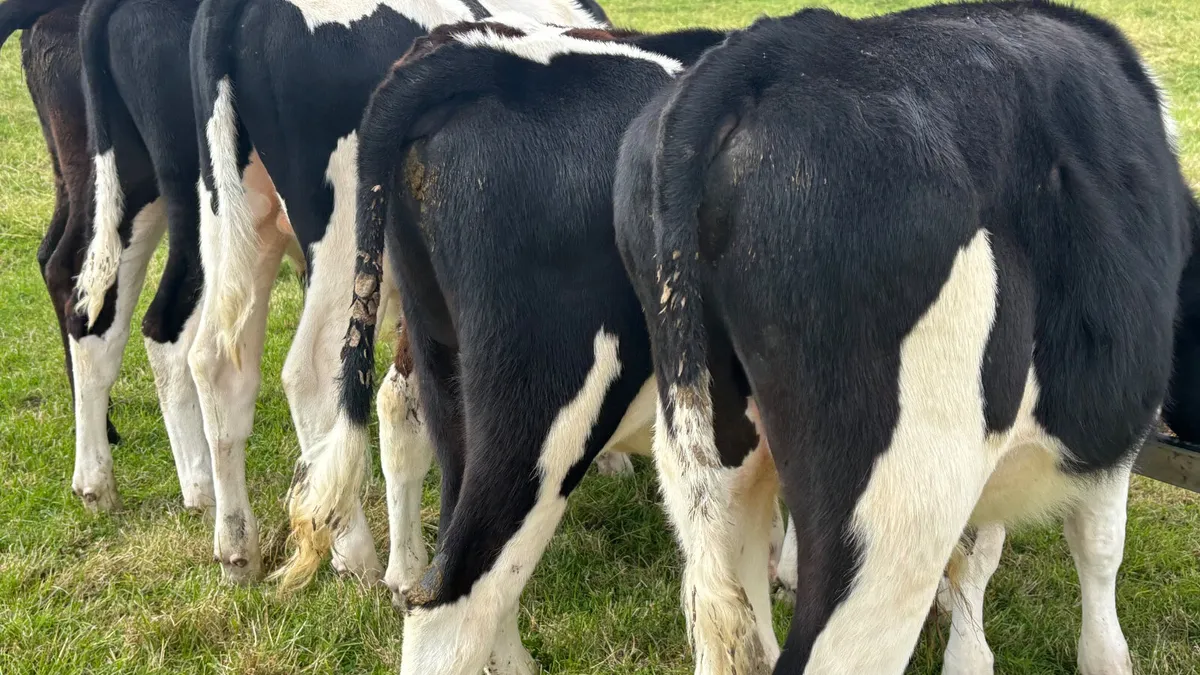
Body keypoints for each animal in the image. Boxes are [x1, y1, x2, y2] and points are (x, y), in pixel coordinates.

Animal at [614, 2, 1192, 674]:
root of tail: (774, 52)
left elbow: (985, 551)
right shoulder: (1113, 435)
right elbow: (1098, 543)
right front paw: (1103, 655)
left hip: (711, 458)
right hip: (902, 507)